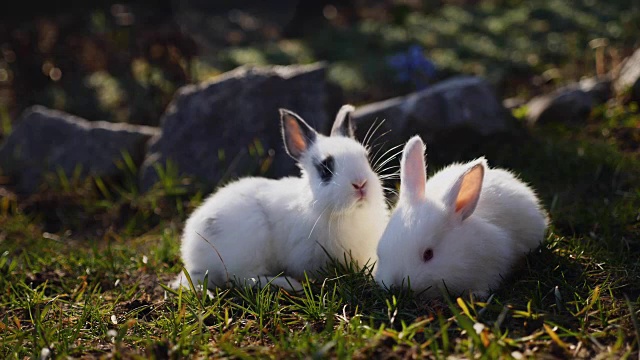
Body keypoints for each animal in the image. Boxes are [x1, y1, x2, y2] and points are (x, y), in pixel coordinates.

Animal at [176, 104, 390, 292]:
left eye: (366, 158)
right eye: (325, 169)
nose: (360, 184)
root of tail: (192, 253)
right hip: (249, 245)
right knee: (241, 278)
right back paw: (287, 284)